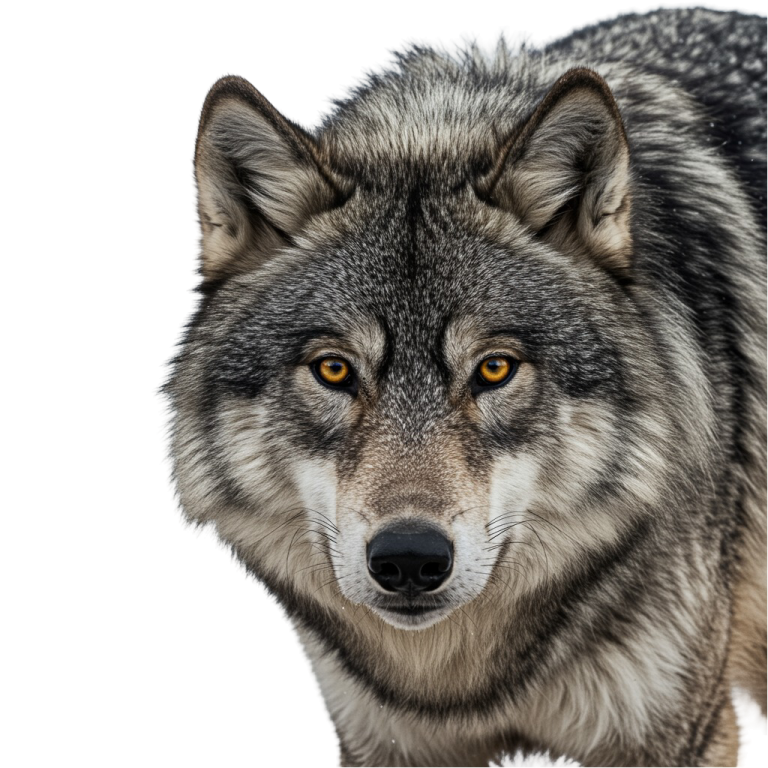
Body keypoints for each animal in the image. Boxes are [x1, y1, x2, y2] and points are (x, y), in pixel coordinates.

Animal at [156, 4, 768, 766]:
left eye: (494, 369)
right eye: (334, 370)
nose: (409, 558)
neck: (459, 685)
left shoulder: (683, 732)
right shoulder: (382, 740)